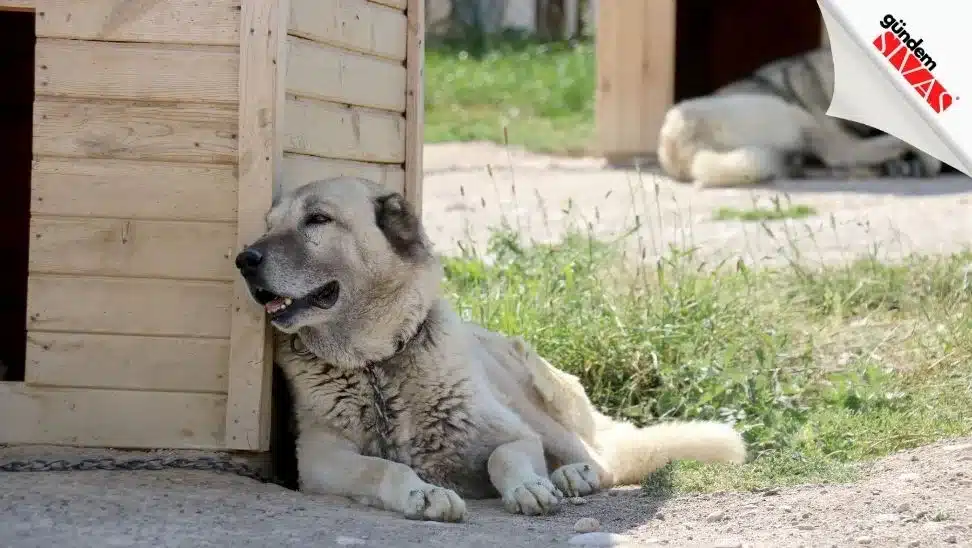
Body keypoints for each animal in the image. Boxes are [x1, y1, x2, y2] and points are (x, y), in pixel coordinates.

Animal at [234, 178, 744, 520]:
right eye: (270, 225)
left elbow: (505, 456)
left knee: (603, 460)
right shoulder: (319, 462)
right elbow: (380, 469)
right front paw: (423, 494)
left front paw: (529, 488)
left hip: (533, 397)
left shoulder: (515, 435)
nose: (244, 259)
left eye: (318, 219)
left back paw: (571, 476)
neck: (376, 366)